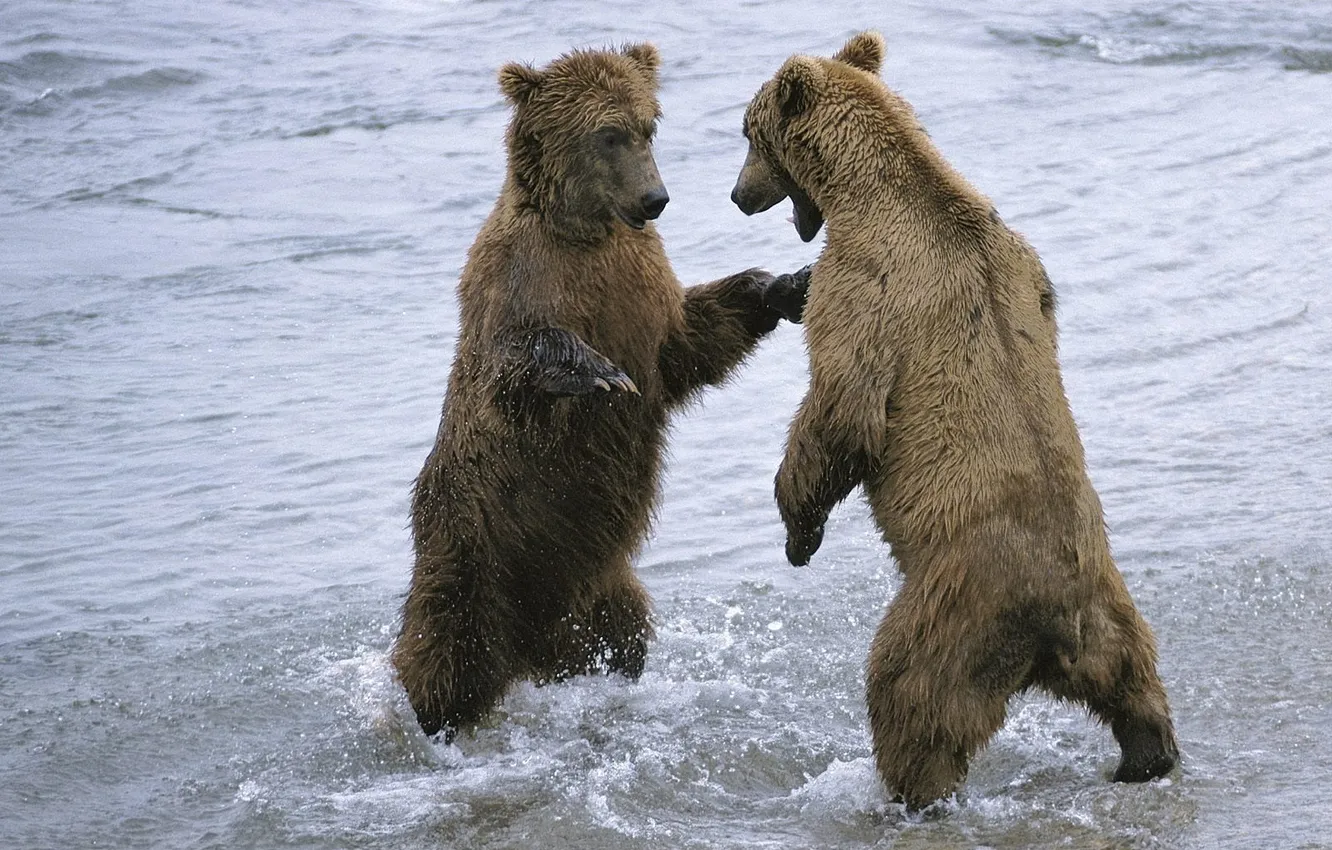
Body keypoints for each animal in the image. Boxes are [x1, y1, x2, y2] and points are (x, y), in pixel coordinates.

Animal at [391, 43, 809, 740]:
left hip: (601, 582)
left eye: (648, 127)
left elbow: (688, 342)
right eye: (607, 135)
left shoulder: (641, 289)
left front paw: (785, 284)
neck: (589, 232)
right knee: (446, 645)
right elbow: (511, 364)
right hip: (470, 541)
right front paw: (595, 371)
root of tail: (530, 653)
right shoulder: (519, 275)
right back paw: (436, 717)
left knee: (622, 633)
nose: (655, 198)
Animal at [735, 33, 1182, 810]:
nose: (737, 195)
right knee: (1137, 681)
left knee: (908, 692)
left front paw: (798, 531)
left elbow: (842, 411)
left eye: (747, 134)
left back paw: (907, 793)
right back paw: (1146, 756)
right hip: (1112, 609)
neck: (872, 188)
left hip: (955, 604)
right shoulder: (1024, 262)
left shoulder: (866, 287)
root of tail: (1055, 625)